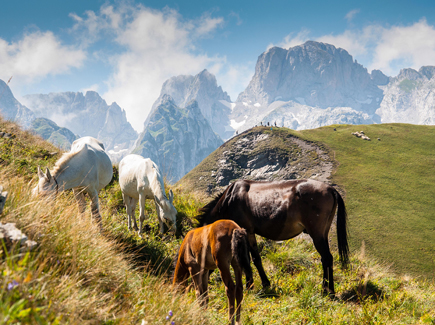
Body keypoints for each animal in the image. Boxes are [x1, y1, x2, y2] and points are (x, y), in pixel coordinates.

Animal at [198, 178, 350, 294]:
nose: (199, 288)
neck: (229, 201)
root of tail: (331, 189)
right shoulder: (250, 233)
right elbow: (256, 258)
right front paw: (264, 283)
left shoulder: (244, 231)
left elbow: (246, 259)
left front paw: (249, 286)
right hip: (323, 233)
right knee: (326, 259)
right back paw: (328, 289)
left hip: (317, 233)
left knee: (327, 258)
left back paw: (327, 291)